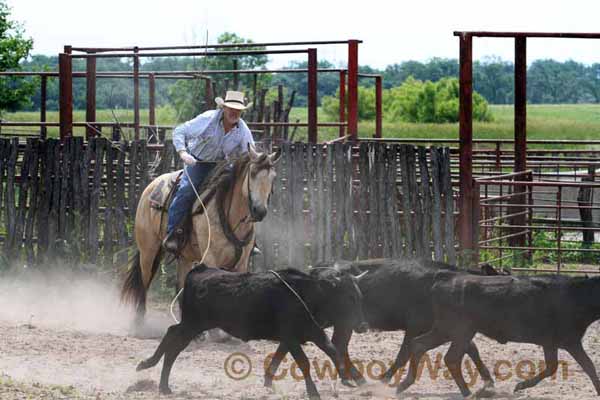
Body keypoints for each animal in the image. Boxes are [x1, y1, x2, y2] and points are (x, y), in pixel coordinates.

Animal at [122, 145, 284, 332]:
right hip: (148, 251)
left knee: (180, 284)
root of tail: (151, 186)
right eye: (252, 173)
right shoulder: (210, 258)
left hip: (184, 257)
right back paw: (139, 323)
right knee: (144, 281)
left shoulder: (242, 263)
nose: (260, 211)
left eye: (273, 177)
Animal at [137, 262, 368, 400]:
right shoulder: (292, 337)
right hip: (193, 324)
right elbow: (304, 362)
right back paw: (157, 377)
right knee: (173, 342)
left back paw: (159, 379)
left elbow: (330, 350)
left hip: (193, 324)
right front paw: (313, 392)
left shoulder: (307, 333)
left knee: (172, 338)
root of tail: (201, 269)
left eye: (358, 295)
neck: (306, 292)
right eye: (349, 297)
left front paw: (347, 378)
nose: (362, 325)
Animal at [264, 258, 500, 392]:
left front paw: (488, 381)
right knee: (334, 345)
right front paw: (385, 379)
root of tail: (314, 274)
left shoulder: (451, 328)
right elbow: (404, 353)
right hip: (336, 322)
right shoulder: (415, 327)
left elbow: (472, 349)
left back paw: (269, 378)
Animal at [398, 274, 600, 396]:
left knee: (419, 344)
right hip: (459, 330)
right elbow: (588, 366)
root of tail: (438, 286)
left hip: (448, 330)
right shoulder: (570, 341)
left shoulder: (551, 342)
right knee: (451, 358)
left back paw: (403, 384)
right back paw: (468, 393)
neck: (578, 296)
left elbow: (554, 367)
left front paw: (521, 385)